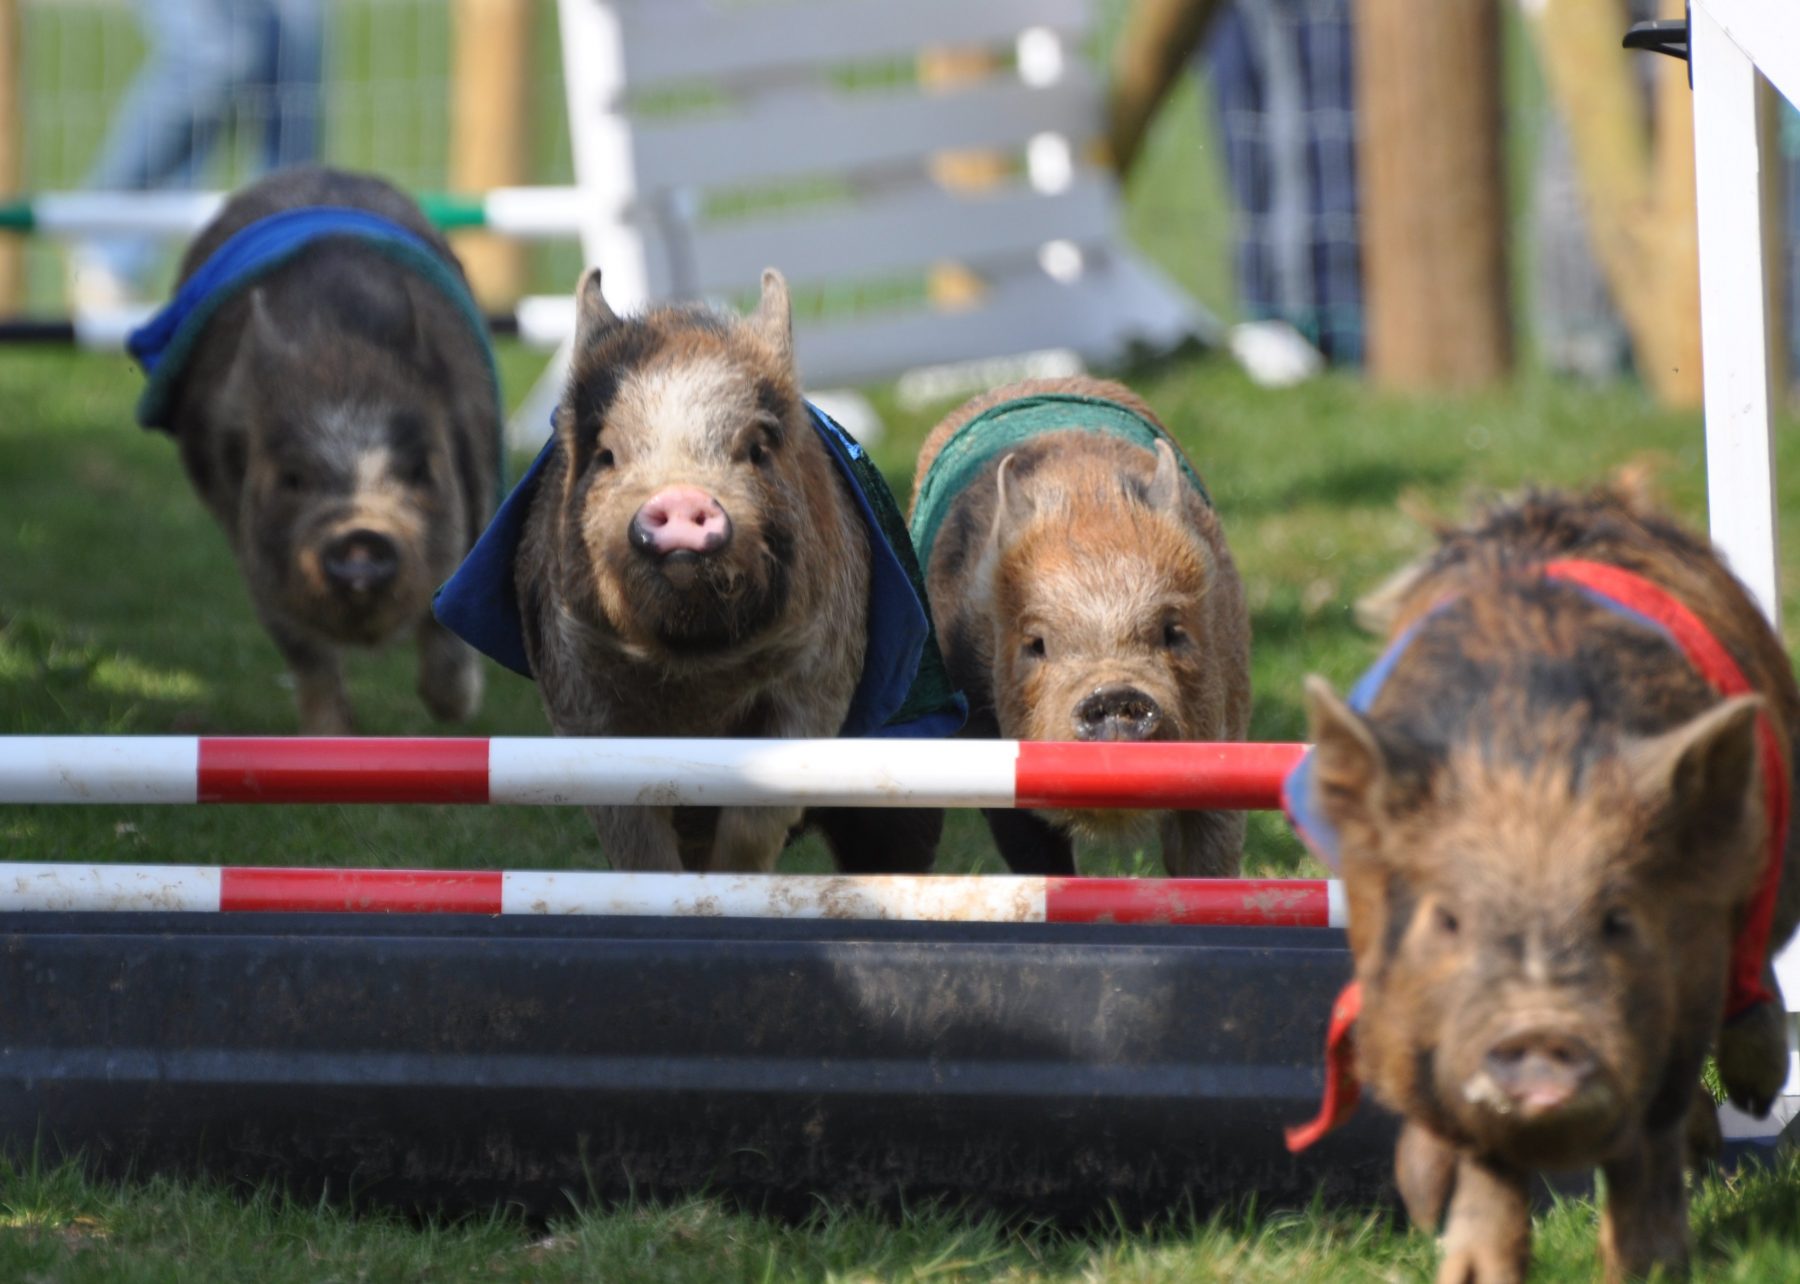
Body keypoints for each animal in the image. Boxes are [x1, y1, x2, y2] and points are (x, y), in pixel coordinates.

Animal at [1296, 486, 1800, 1274]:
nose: (1541, 1029)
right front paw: (1469, 1270)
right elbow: (1485, 1164)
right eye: (1447, 920)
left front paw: (1649, 1269)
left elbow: (1646, 1143)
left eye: (1619, 918)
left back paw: (1748, 1103)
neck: (1533, 767)